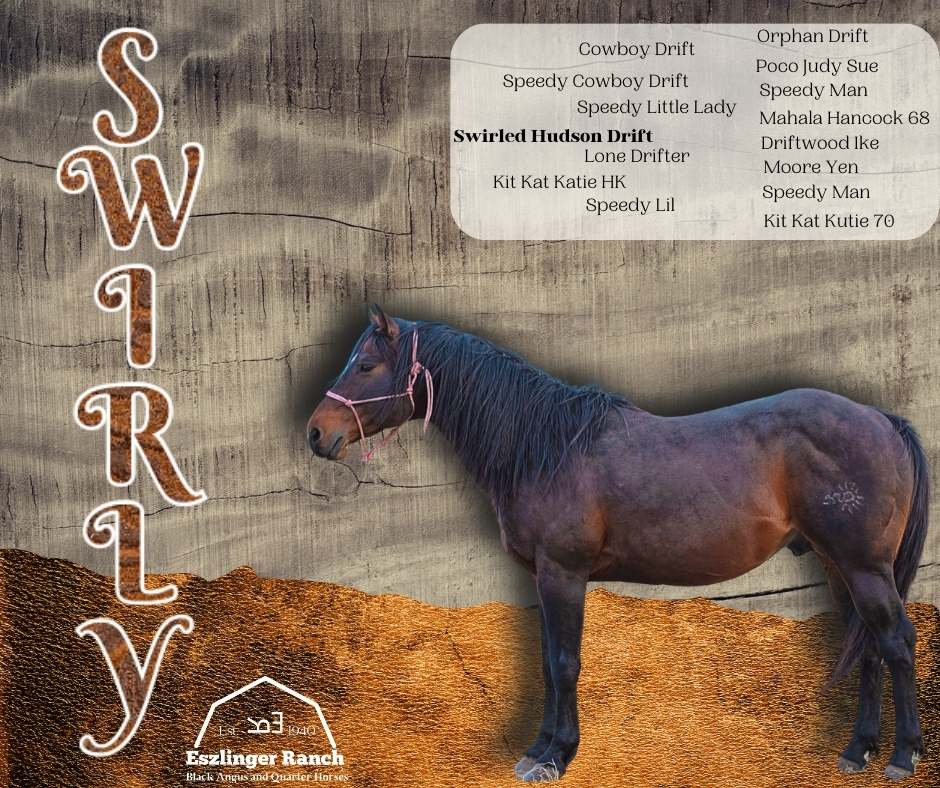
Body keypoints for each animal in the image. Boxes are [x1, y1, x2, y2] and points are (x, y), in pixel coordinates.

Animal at [306, 305, 929, 783]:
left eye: (366, 364)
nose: (316, 433)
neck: (547, 447)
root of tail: (882, 417)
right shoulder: (541, 577)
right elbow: (546, 661)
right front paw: (538, 749)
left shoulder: (563, 573)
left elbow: (564, 661)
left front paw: (556, 757)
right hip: (838, 567)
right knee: (867, 645)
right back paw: (856, 751)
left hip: (864, 567)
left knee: (896, 641)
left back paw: (902, 756)